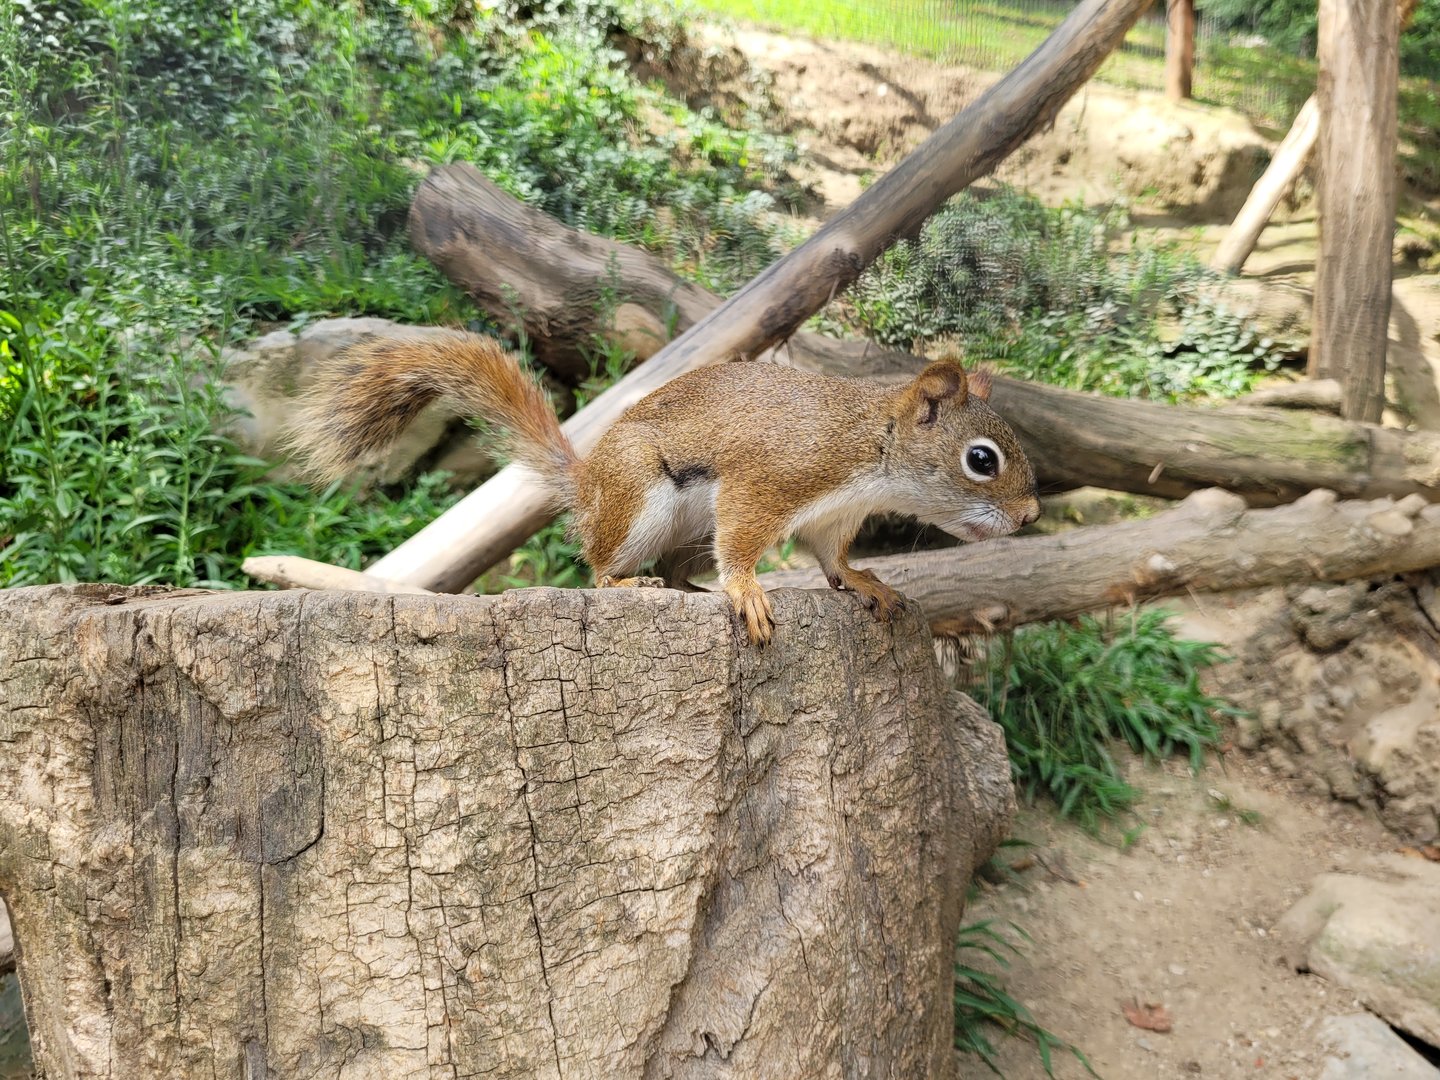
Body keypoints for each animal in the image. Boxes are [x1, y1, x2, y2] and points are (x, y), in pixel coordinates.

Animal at [286, 332, 1040, 645]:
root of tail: (588, 484)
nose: (1032, 515)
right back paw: (635, 584)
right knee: (600, 570)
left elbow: (833, 560)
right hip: (639, 500)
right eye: (981, 460)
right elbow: (744, 541)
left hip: (681, 533)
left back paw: (689, 592)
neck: (869, 446)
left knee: (680, 570)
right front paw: (747, 590)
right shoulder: (767, 480)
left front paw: (865, 582)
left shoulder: (831, 518)